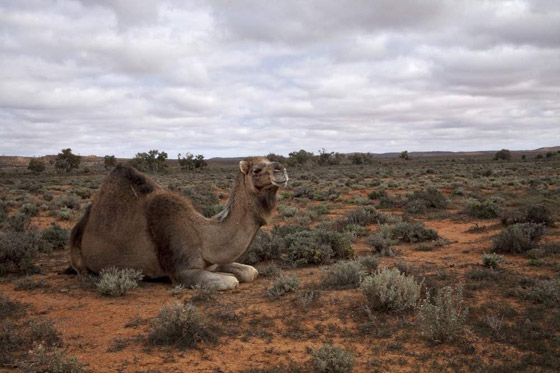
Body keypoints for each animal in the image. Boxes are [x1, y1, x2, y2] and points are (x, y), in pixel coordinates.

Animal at [70, 155, 288, 290]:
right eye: (256, 170)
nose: (281, 169)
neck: (203, 235)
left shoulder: (213, 262)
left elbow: (251, 271)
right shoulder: (181, 271)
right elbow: (232, 281)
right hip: (77, 253)